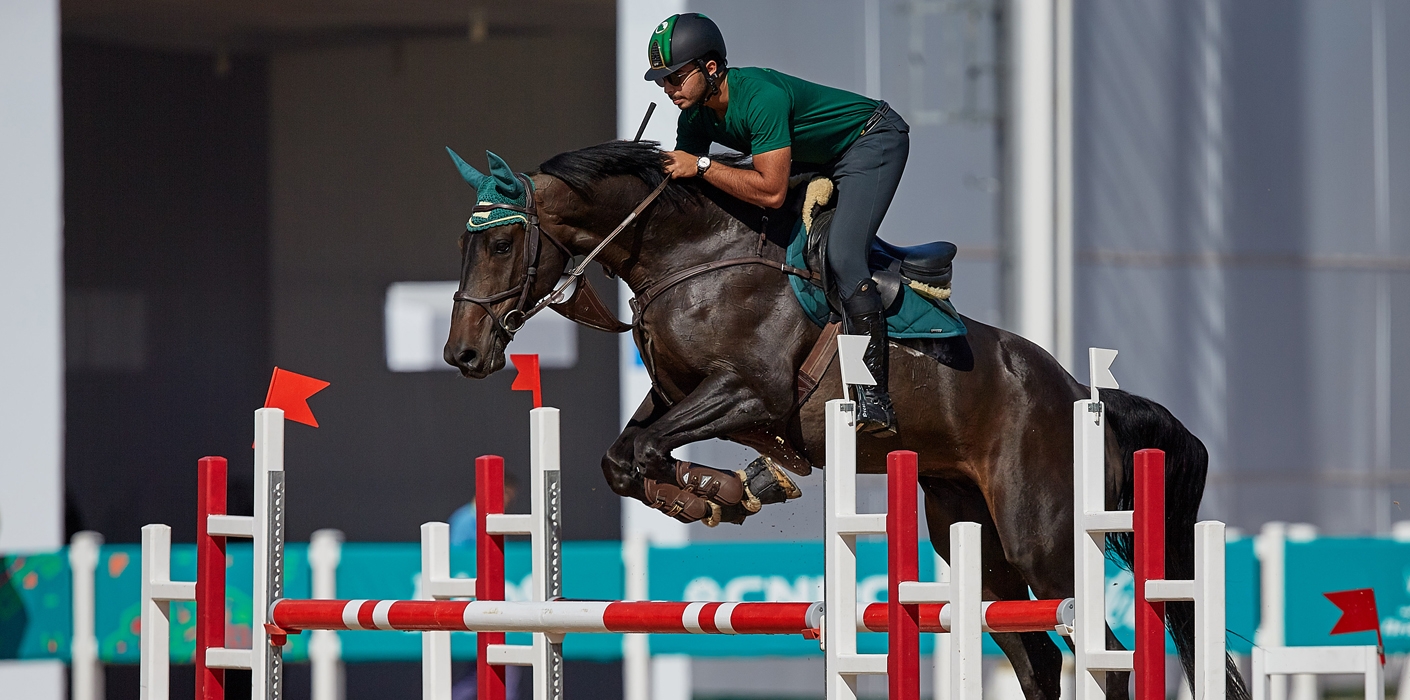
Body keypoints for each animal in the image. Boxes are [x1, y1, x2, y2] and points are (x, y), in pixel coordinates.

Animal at [439, 138, 1246, 700]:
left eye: (503, 242)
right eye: (465, 241)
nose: (463, 353)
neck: (690, 256)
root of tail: (1083, 392)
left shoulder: (749, 392)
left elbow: (644, 450)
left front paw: (729, 490)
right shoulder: (675, 395)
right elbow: (624, 455)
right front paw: (719, 493)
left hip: (1041, 541)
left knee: (1103, 653)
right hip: (970, 539)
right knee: (1038, 657)